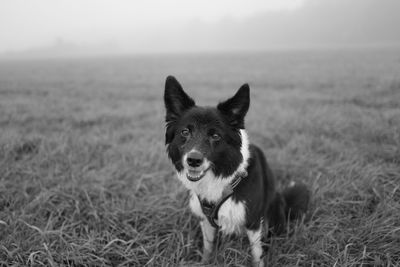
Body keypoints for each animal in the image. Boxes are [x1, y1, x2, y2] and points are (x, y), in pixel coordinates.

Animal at [162, 76, 310, 266]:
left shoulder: (253, 221)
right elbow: (208, 247)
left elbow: (257, 254)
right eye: (185, 132)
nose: (193, 160)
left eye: (215, 136)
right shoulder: (205, 220)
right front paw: (205, 261)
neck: (223, 179)